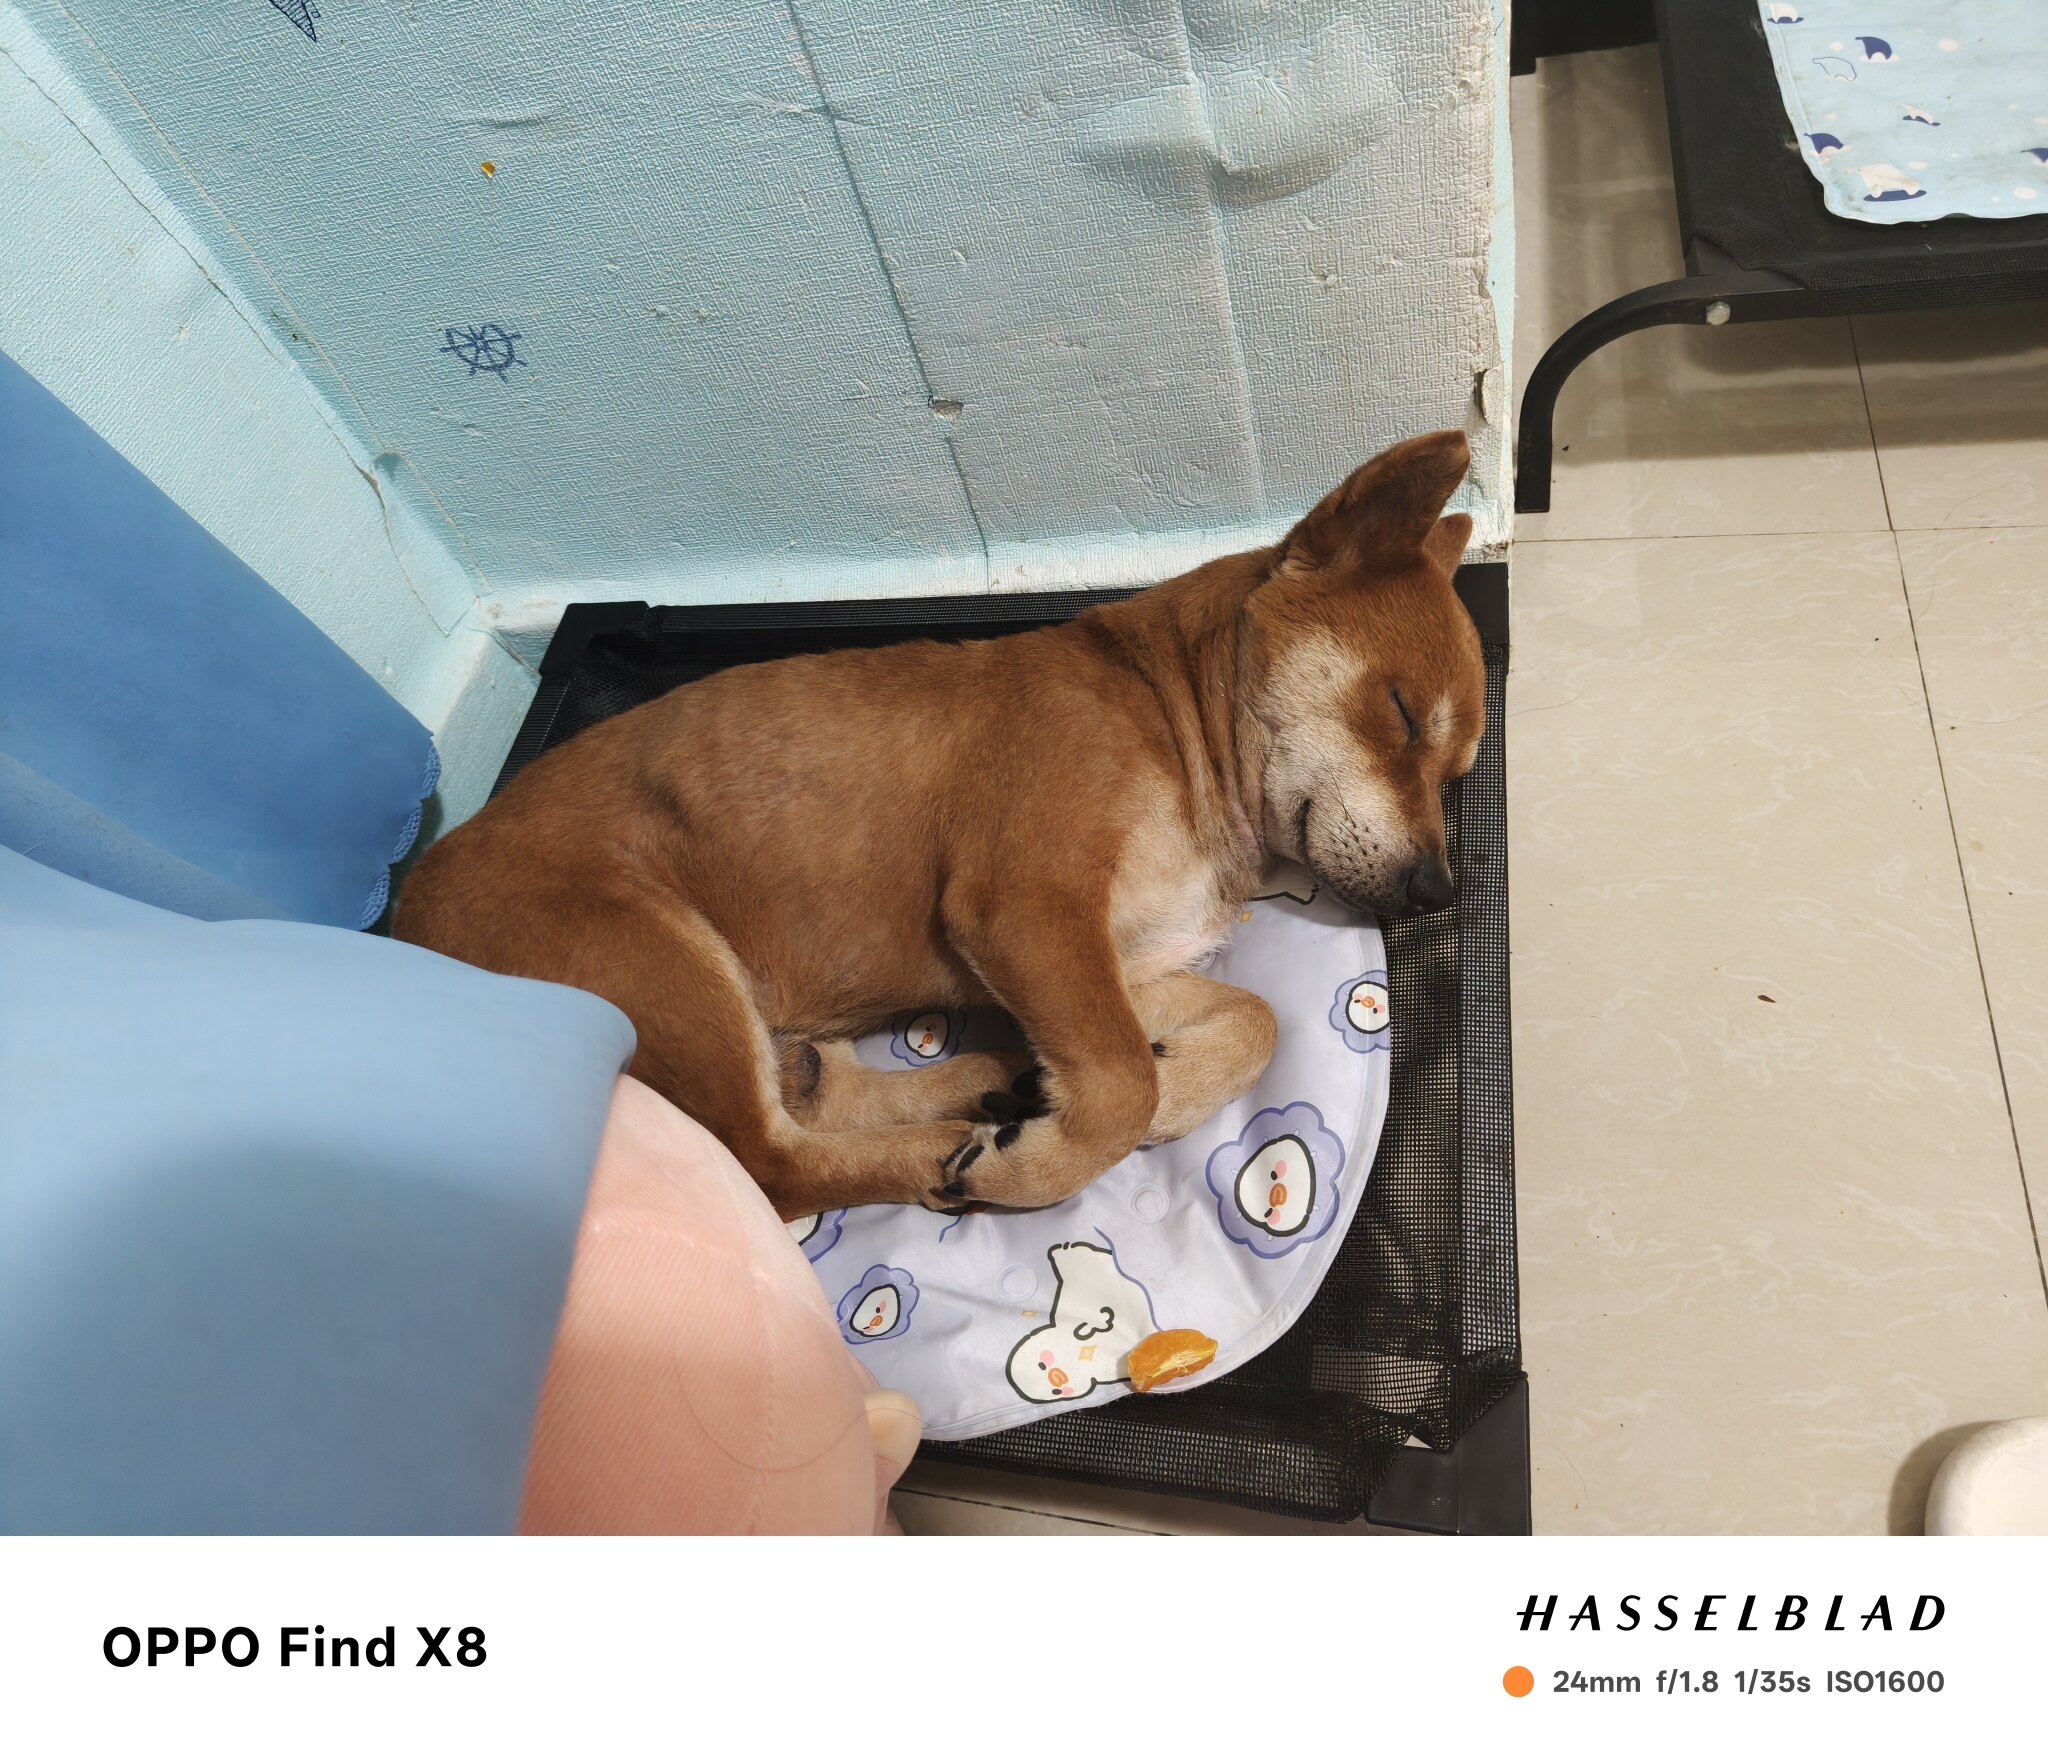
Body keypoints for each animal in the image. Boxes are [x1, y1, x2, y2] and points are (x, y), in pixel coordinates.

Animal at [393, 430, 1486, 1217]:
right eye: (1398, 713)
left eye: (1457, 771)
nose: (1438, 892)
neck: (1162, 713)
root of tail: (400, 919)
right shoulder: (1027, 908)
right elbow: (1120, 1082)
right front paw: (1049, 1161)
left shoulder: (1116, 964)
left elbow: (1245, 1023)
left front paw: (1146, 1094)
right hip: (667, 971)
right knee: (770, 1165)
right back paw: (949, 1148)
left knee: (819, 1101)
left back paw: (993, 1084)